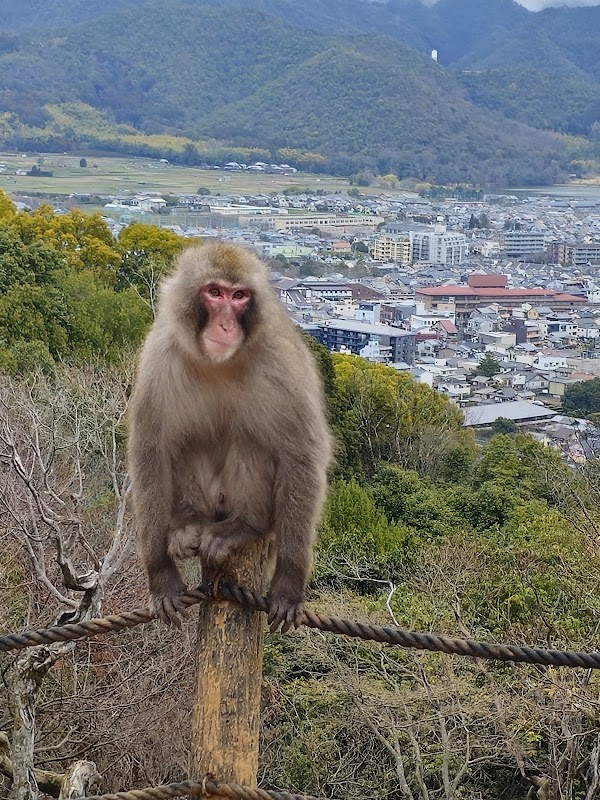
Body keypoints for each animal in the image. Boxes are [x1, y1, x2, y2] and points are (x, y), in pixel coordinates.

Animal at [127, 241, 333, 632]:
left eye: (239, 296)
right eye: (214, 292)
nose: (225, 324)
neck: (217, 362)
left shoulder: (279, 363)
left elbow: (301, 453)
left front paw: (289, 583)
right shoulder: (160, 355)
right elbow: (151, 449)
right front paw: (161, 574)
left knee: (250, 440)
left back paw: (242, 527)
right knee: (186, 443)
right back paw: (188, 523)